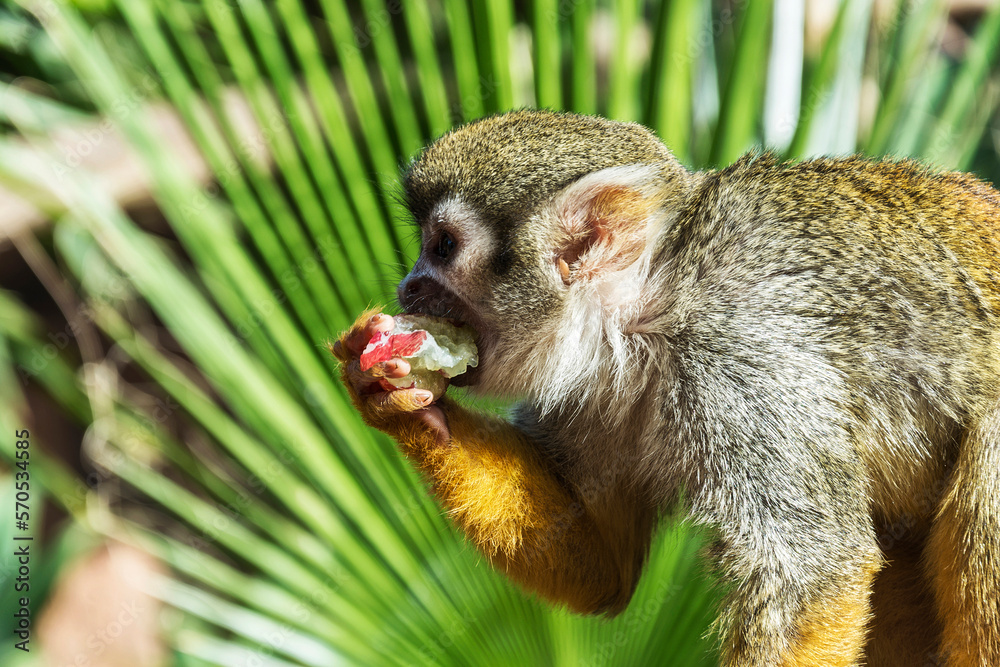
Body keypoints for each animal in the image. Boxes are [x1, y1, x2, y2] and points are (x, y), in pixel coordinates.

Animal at [331, 109, 1000, 666]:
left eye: (442, 247)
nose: (408, 287)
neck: (650, 310)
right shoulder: (593, 387)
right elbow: (600, 560)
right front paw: (397, 399)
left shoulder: (744, 356)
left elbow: (815, 570)